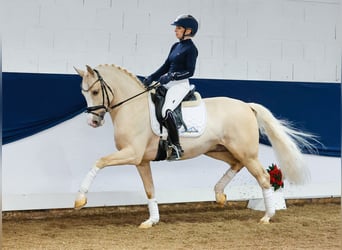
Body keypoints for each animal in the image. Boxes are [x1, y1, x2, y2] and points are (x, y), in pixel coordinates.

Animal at [73, 64, 314, 229]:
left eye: (95, 92)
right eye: (83, 93)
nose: (93, 121)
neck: (133, 107)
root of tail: (247, 106)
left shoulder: (131, 154)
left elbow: (99, 161)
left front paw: (80, 198)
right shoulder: (141, 160)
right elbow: (150, 189)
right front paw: (152, 220)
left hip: (246, 153)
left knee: (263, 177)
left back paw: (267, 216)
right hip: (218, 150)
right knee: (236, 164)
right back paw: (219, 194)